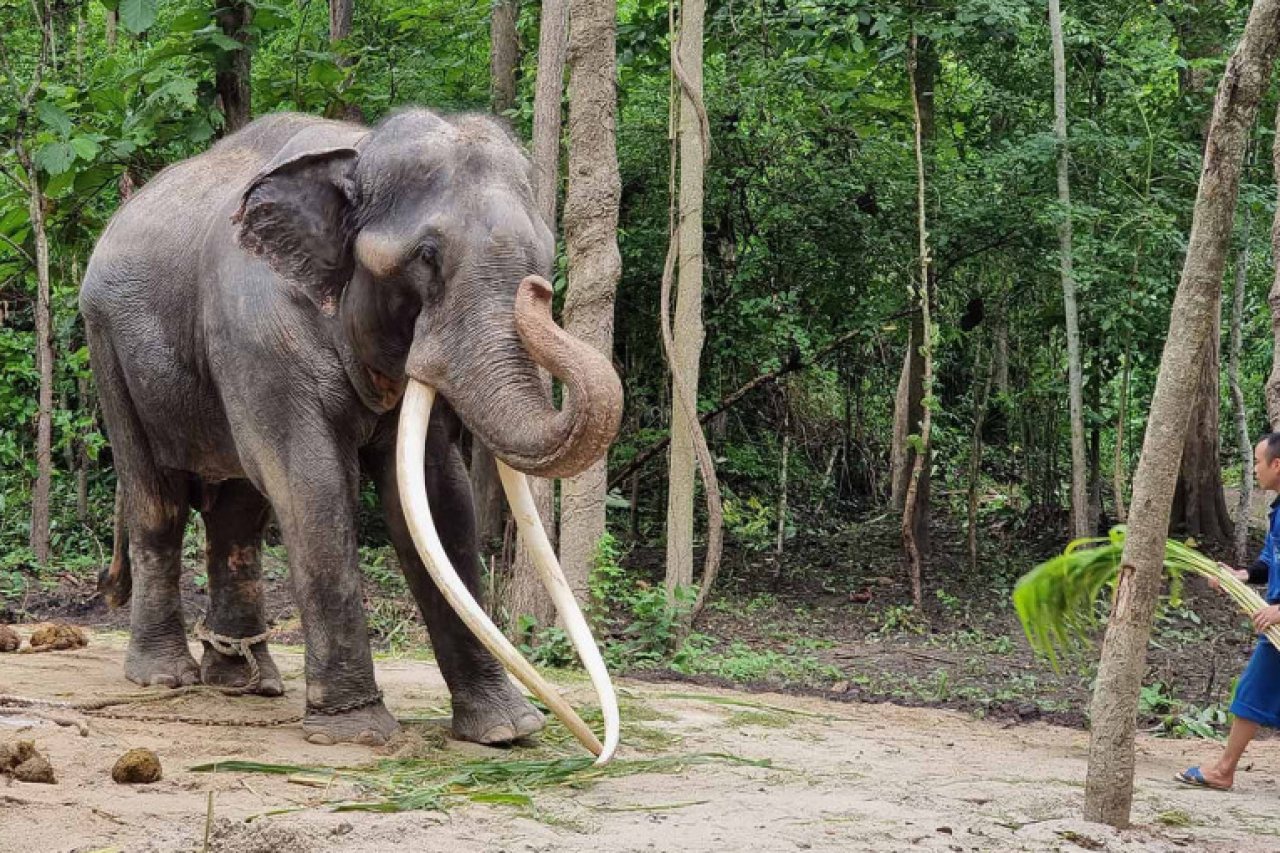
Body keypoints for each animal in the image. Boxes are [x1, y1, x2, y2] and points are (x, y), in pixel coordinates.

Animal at [79, 109, 622, 757]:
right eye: (427, 256)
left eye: (543, 256)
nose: (536, 294)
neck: (357, 151)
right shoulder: (258, 329)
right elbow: (310, 481)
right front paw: (357, 733)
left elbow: (436, 497)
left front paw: (505, 732)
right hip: (108, 347)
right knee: (157, 501)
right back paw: (165, 677)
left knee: (237, 515)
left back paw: (249, 684)